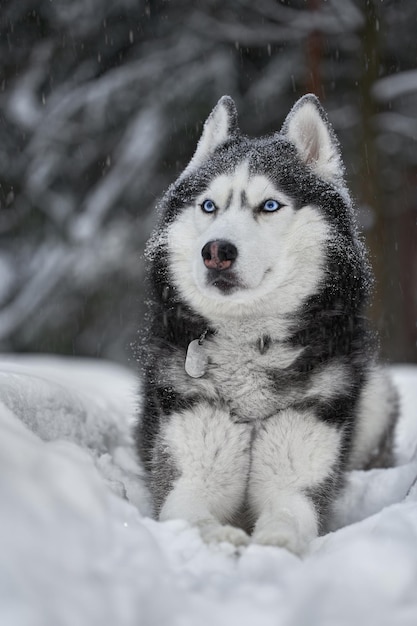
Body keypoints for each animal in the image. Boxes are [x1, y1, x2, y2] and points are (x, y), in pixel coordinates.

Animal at [136, 95, 396, 552]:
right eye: (209, 206)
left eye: (269, 205)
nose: (216, 251)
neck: (248, 342)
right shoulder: (189, 476)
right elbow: (192, 518)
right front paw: (224, 539)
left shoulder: (295, 484)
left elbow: (286, 522)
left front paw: (268, 548)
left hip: (377, 395)